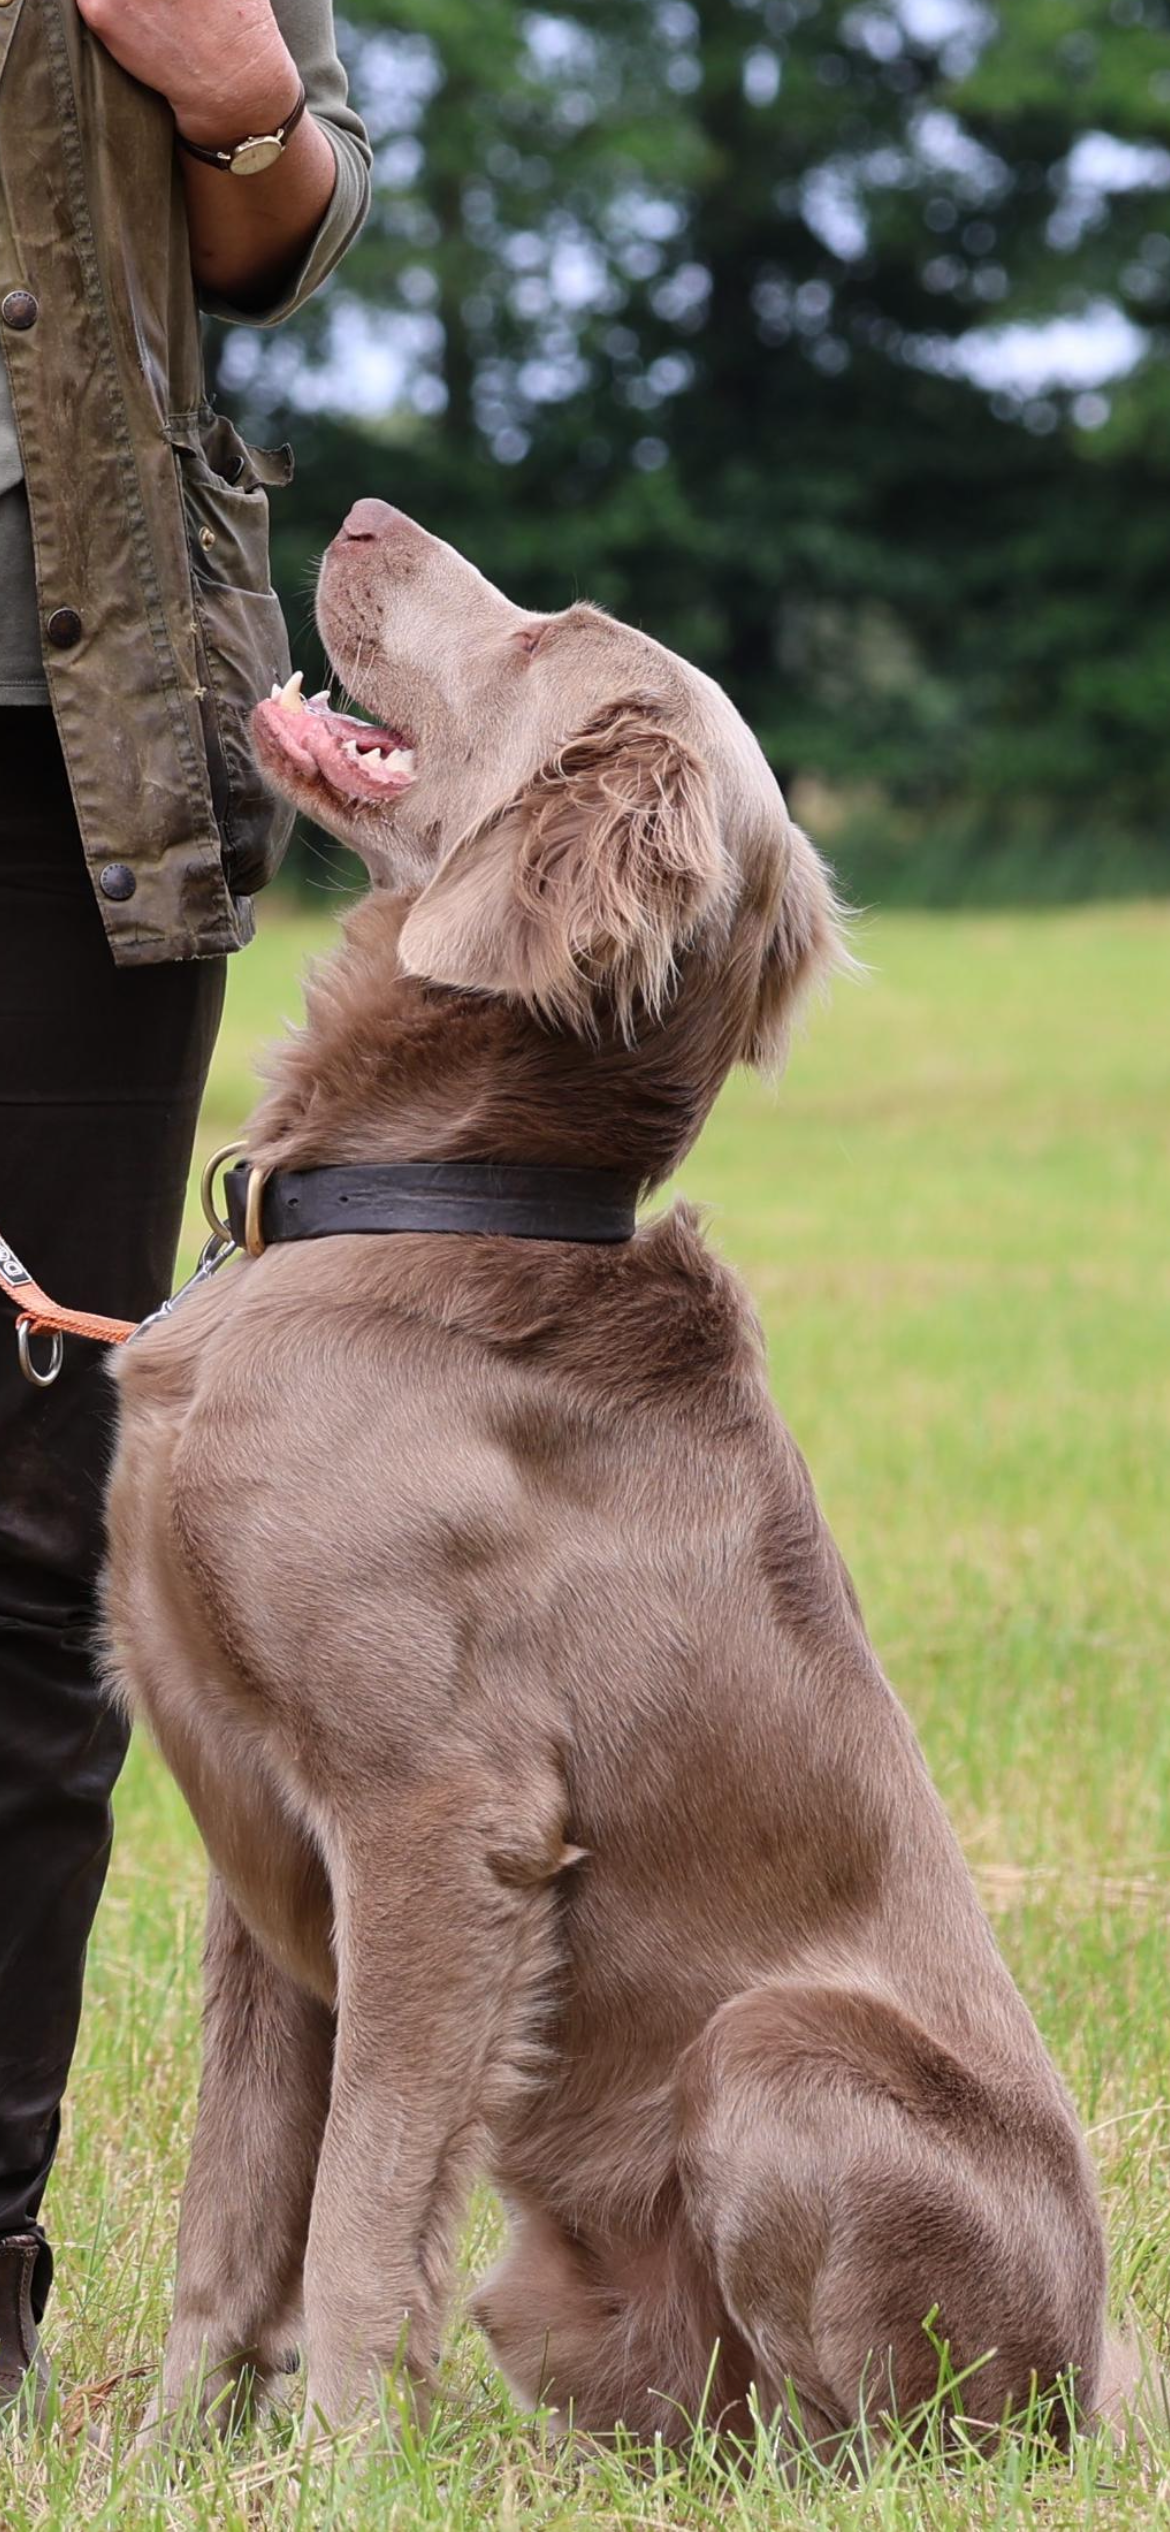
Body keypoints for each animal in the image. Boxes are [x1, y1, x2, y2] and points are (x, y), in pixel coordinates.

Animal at [104, 499, 1111, 2450]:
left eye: (542, 623)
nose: (349, 511)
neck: (431, 1194)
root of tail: (1108, 2383)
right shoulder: (255, 1827)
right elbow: (234, 2200)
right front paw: (174, 2450)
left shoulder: (442, 1815)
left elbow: (359, 2199)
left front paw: (343, 2464)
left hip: (776, 2053)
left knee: (873, 2433)